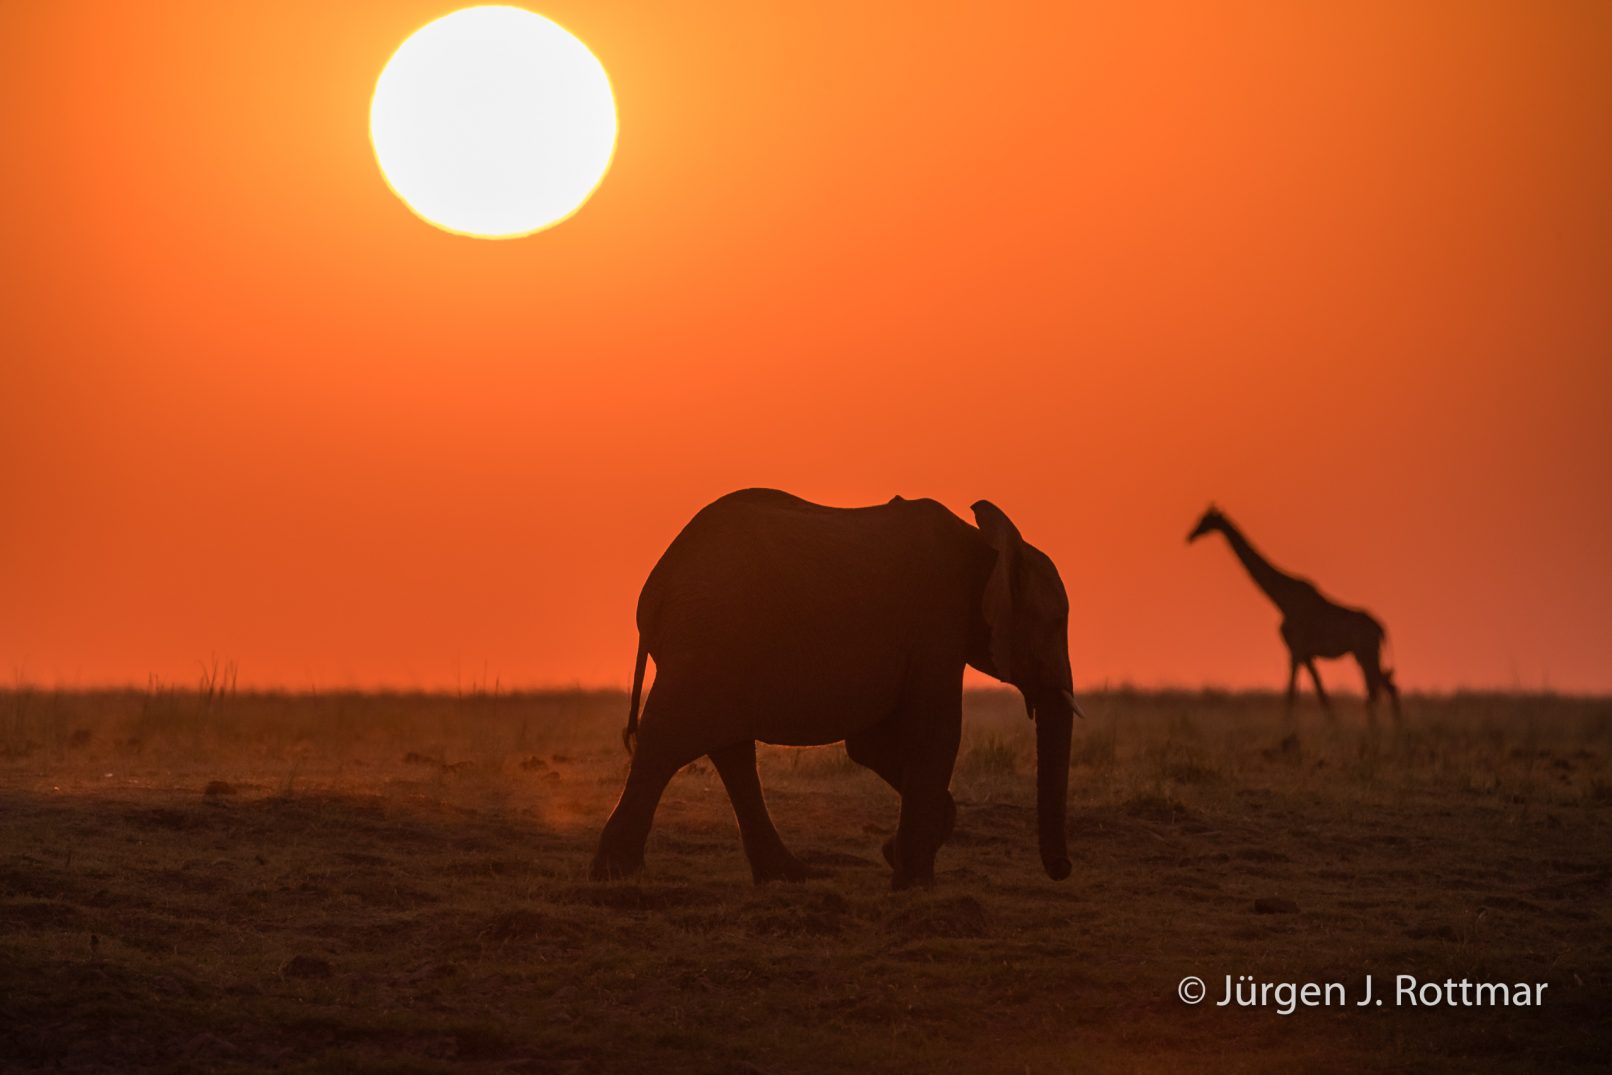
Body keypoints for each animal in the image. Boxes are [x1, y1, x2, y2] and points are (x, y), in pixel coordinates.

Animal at [589, 488, 1083, 889]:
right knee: (667, 741)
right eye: (1057, 621)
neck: (988, 544)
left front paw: (897, 857)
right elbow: (935, 735)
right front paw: (915, 883)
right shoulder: (937, 624)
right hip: (708, 639)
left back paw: (786, 877)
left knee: (729, 750)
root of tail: (656, 589)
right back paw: (616, 874)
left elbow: (872, 746)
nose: (1062, 870)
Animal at [1187, 506, 1400, 717]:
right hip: (1363, 654)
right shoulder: (1304, 653)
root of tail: (1381, 628)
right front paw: (1332, 722)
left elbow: (1291, 694)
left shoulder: (1296, 650)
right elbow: (1319, 692)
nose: (1190, 536)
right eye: (1201, 518)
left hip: (1367, 652)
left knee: (1381, 688)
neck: (1283, 601)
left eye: (1206, 520)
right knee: (1382, 687)